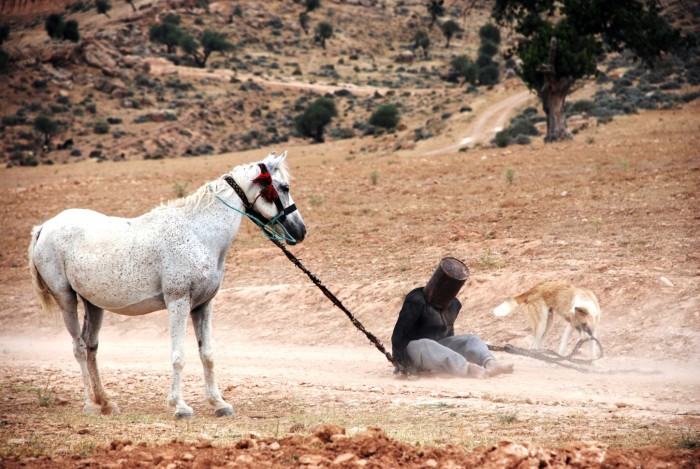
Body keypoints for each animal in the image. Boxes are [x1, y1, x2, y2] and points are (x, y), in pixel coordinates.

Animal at [26, 152, 304, 418]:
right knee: (80, 348)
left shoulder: (202, 306)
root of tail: (45, 227)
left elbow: (207, 355)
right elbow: (178, 356)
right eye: (284, 187)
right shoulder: (178, 303)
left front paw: (218, 403)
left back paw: (105, 402)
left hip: (93, 304)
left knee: (91, 347)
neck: (198, 234)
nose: (300, 231)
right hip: (66, 299)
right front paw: (180, 406)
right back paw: (89, 405)